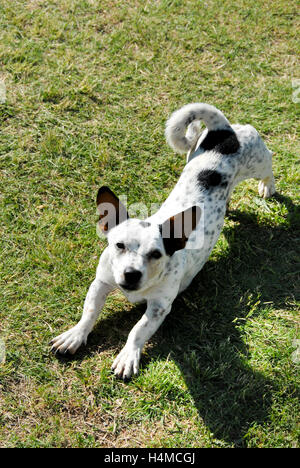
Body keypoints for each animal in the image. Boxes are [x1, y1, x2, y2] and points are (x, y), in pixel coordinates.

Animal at [49, 103, 276, 380]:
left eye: (156, 254)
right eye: (119, 246)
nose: (131, 274)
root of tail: (225, 131)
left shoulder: (159, 307)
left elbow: (138, 329)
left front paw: (128, 355)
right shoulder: (101, 283)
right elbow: (90, 311)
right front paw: (75, 335)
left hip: (258, 162)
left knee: (269, 166)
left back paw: (268, 186)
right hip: (193, 152)